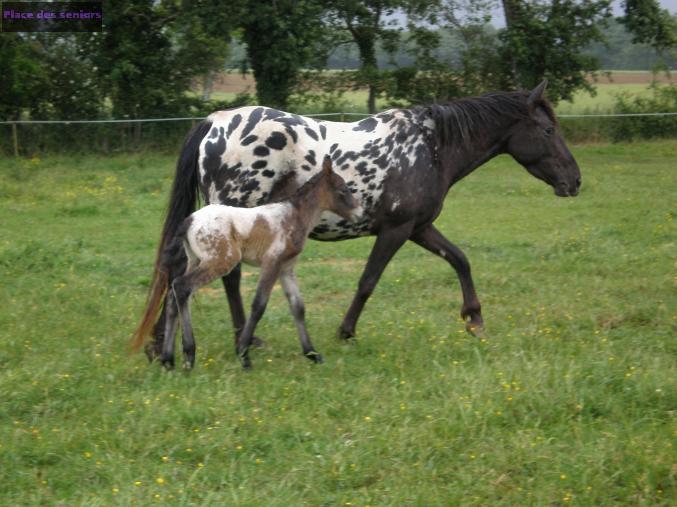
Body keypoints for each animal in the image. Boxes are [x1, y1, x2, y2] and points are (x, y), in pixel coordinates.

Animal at [134, 155, 362, 370]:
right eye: (343, 190)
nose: (359, 214)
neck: (293, 215)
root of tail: (189, 221)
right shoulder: (272, 262)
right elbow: (258, 305)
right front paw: (243, 355)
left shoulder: (286, 268)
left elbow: (298, 307)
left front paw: (312, 354)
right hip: (220, 261)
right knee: (182, 287)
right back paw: (189, 356)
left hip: (195, 260)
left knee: (173, 295)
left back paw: (168, 360)